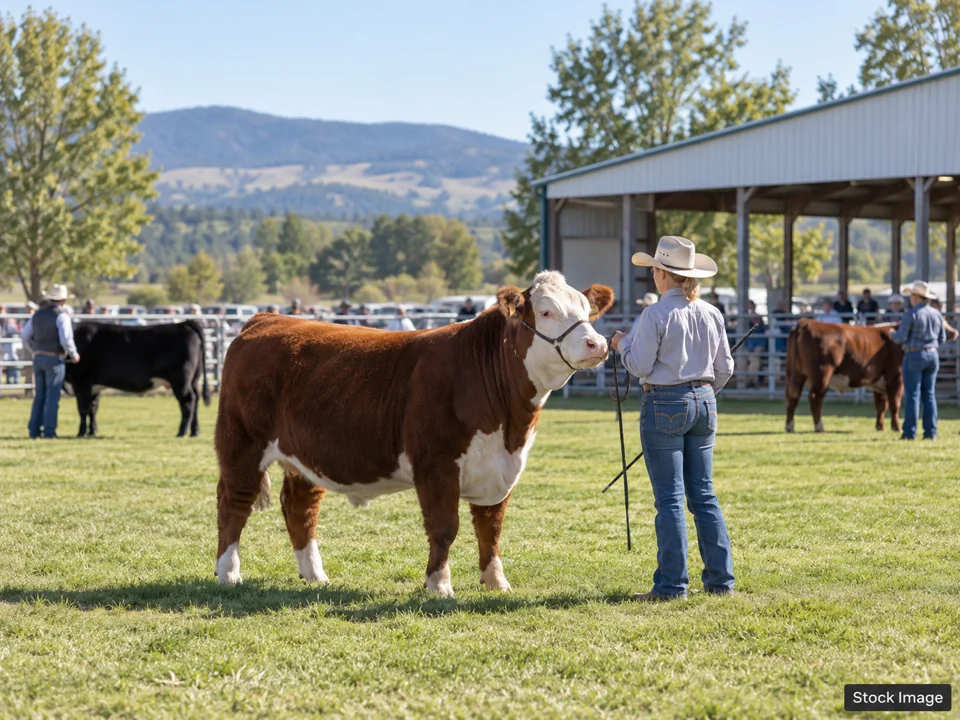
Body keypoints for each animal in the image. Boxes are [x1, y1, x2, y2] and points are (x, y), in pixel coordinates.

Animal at [66, 320, 210, 437]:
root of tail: (184, 323)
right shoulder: (94, 386)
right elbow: (93, 409)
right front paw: (92, 431)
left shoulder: (81, 382)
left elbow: (83, 409)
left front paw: (81, 432)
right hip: (193, 380)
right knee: (196, 399)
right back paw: (195, 431)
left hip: (180, 380)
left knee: (188, 401)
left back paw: (182, 432)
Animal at [214, 271, 614, 596]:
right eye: (545, 312)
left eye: (586, 310)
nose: (597, 343)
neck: (509, 426)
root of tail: (265, 319)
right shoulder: (436, 464)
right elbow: (444, 527)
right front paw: (439, 584)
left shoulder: (503, 468)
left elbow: (491, 529)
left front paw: (496, 582)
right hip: (242, 443)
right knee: (234, 502)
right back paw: (228, 573)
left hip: (304, 457)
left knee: (300, 507)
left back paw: (314, 575)